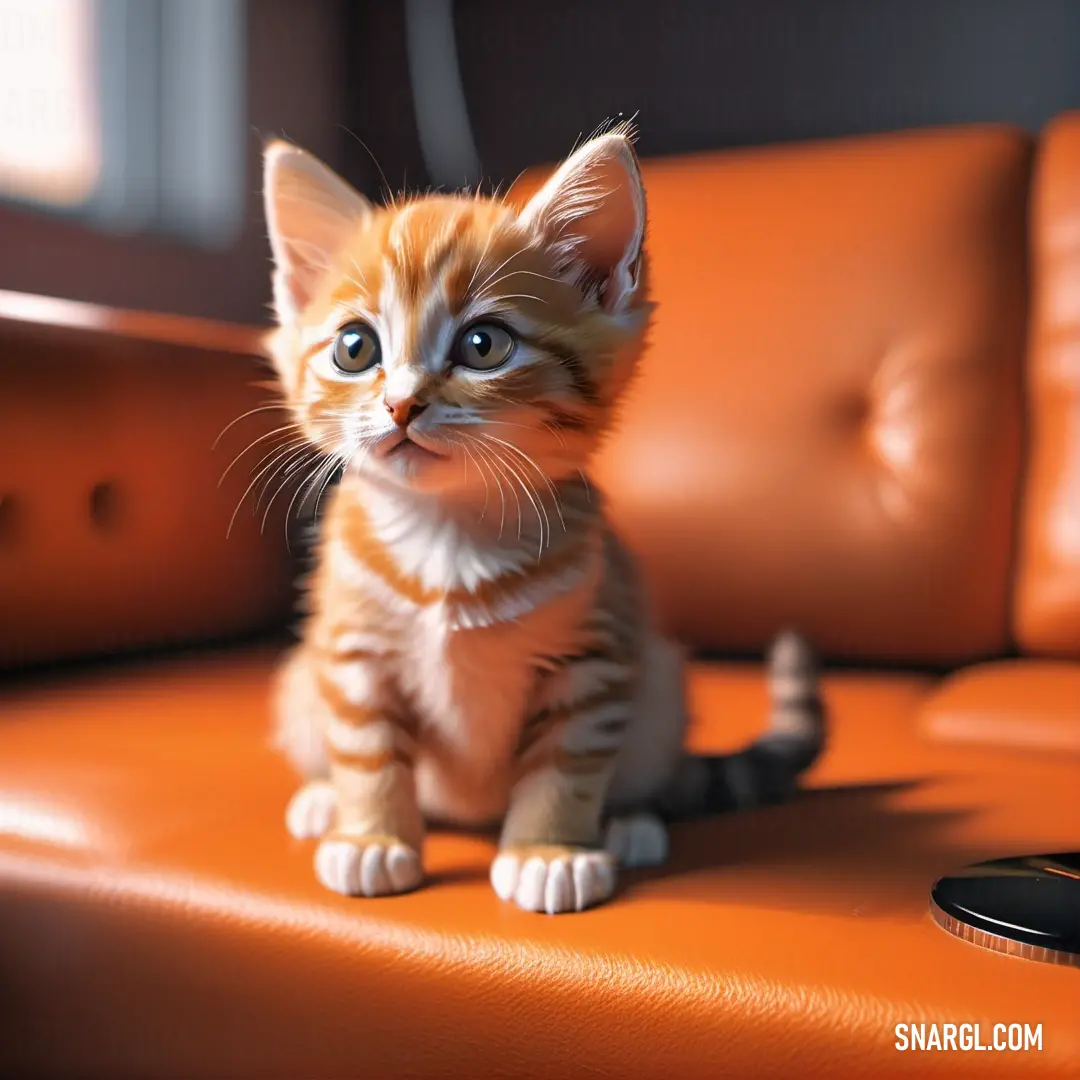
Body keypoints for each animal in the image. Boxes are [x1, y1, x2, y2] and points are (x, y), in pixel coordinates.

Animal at [263, 124, 825, 911]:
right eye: (354, 347)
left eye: (483, 344)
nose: (401, 404)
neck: (447, 536)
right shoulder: (351, 652)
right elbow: (367, 751)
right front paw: (371, 837)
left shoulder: (596, 658)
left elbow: (567, 762)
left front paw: (547, 852)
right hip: (299, 678)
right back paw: (322, 801)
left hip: (660, 677)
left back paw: (632, 822)